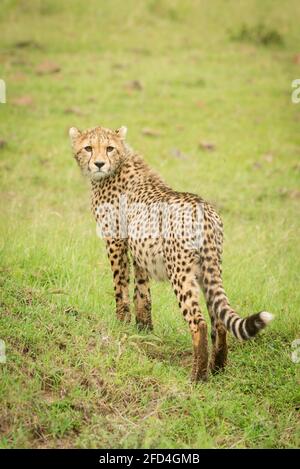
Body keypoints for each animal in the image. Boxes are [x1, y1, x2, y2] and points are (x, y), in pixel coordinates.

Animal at [69, 124, 274, 380]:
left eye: (109, 148)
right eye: (88, 148)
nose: (98, 163)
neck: (120, 162)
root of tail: (204, 207)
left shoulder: (116, 241)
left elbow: (121, 288)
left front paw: (121, 324)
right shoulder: (140, 249)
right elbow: (142, 293)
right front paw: (144, 330)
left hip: (180, 272)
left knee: (199, 322)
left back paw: (197, 377)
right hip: (209, 269)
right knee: (218, 321)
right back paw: (217, 369)